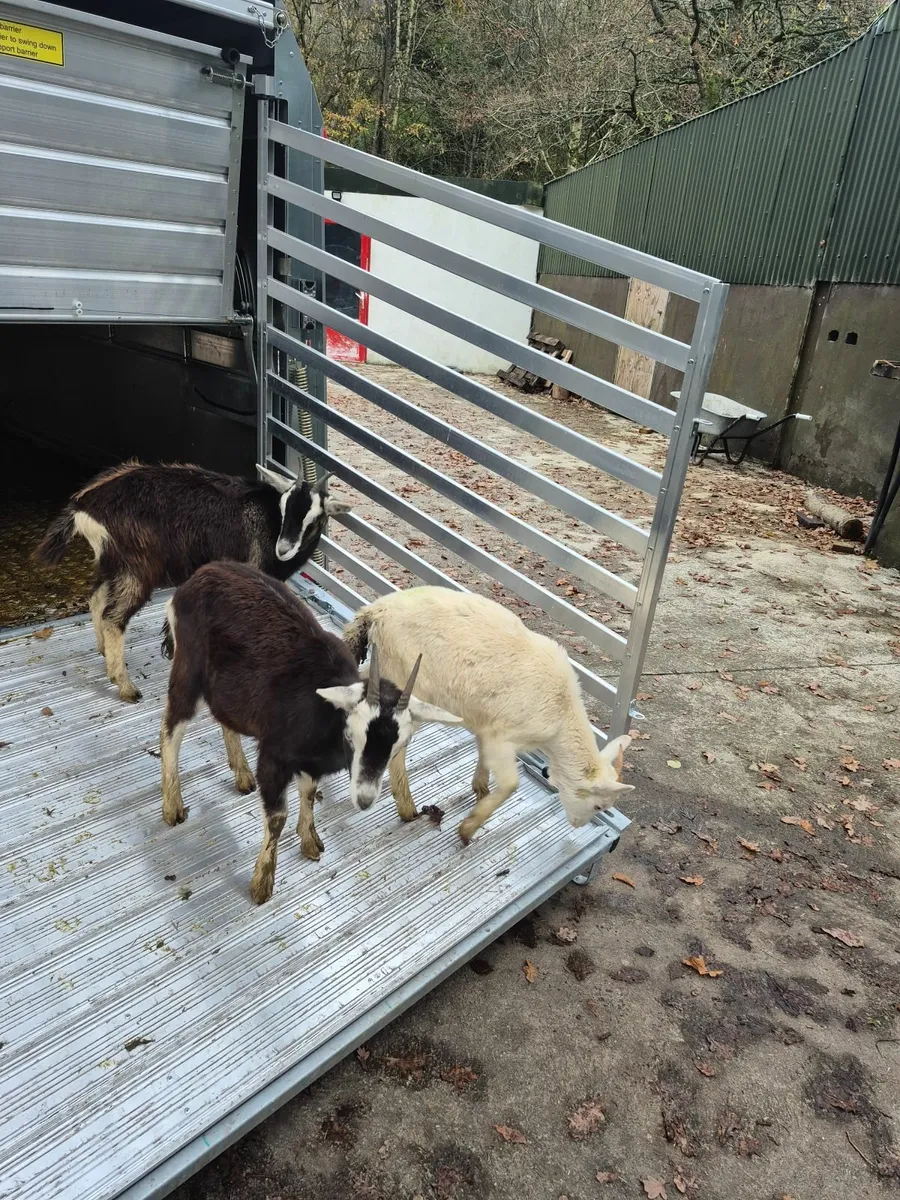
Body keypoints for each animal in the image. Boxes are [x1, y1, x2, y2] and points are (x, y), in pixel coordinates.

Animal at [35, 461, 349, 703]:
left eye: (315, 518)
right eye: (284, 508)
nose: (283, 549)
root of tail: (84, 504)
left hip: (112, 562)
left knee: (97, 599)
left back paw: (104, 652)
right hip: (137, 567)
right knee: (113, 616)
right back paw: (126, 686)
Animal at [160, 562, 461, 904]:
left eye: (398, 744)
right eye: (352, 735)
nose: (365, 799)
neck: (323, 714)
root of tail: (198, 577)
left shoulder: (309, 760)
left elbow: (308, 792)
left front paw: (309, 840)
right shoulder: (274, 756)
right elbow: (278, 816)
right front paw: (262, 883)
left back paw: (241, 774)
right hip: (188, 668)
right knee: (170, 728)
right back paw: (172, 806)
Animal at [344, 586, 634, 844]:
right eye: (599, 807)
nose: (576, 825)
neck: (561, 718)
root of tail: (376, 611)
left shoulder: (488, 728)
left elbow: (484, 760)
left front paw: (480, 790)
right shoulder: (502, 738)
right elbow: (510, 785)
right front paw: (468, 829)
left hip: (385, 668)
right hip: (406, 679)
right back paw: (406, 808)